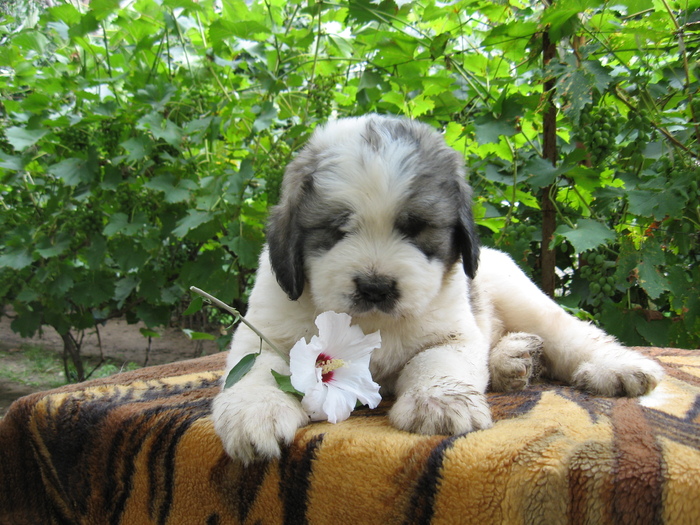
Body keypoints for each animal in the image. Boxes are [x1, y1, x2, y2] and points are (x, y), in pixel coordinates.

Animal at [211, 112, 664, 460]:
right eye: (337, 230)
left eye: (415, 228)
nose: (375, 286)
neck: (373, 322)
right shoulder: (266, 328)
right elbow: (257, 368)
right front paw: (254, 414)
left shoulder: (452, 331)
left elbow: (436, 360)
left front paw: (441, 403)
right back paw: (514, 360)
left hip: (520, 295)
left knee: (571, 334)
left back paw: (611, 366)